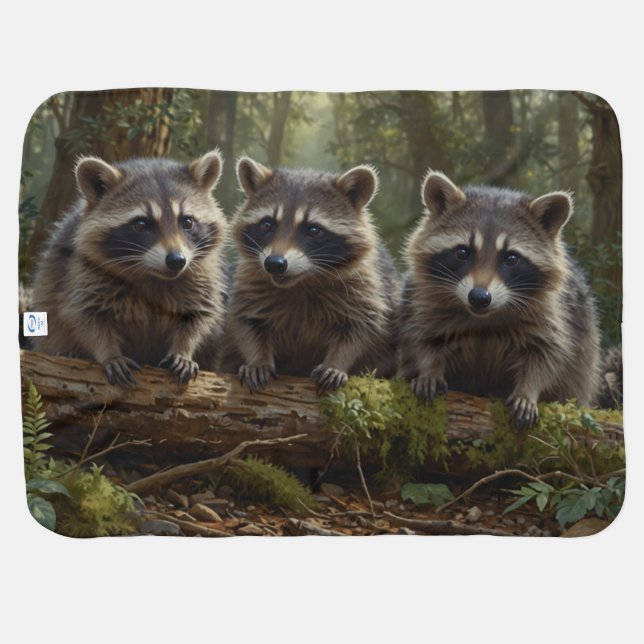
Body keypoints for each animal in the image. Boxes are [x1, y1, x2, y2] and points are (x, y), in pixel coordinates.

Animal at [31, 150, 228, 386]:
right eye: (141, 224)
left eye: (187, 222)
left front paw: (183, 349)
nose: (176, 260)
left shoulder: (202, 274)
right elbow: (84, 316)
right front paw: (109, 353)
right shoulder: (82, 272)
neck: (153, 275)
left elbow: (199, 316)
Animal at [220, 157, 400, 393]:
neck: (302, 281)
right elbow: (246, 322)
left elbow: (360, 329)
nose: (275, 264)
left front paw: (336, 363)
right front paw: (258, 360)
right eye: (266, 225)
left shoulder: (368, 286)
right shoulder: (249, 282)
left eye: (314, 230)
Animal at [399, 171, 601, 429]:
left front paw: (528, 390)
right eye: (462, 252)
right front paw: (429, 369)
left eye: (511, 258)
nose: (479, 297)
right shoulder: (422, 298)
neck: (484, 316)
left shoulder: (555, 313)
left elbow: (547, 354)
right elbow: (422, 337)